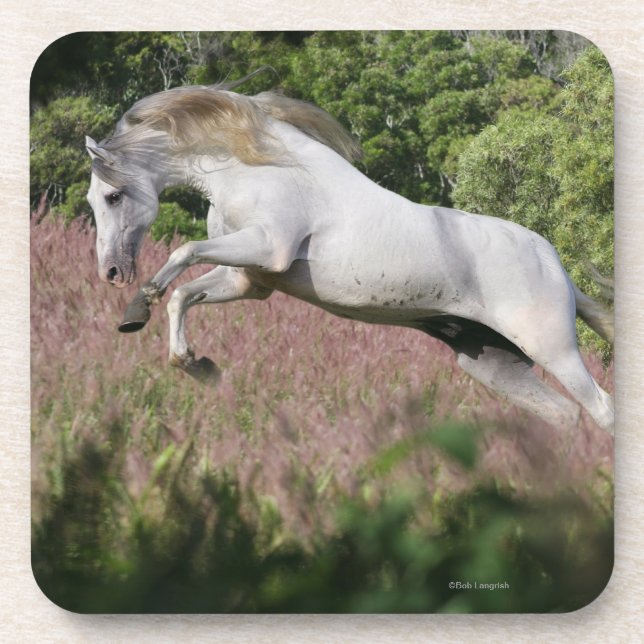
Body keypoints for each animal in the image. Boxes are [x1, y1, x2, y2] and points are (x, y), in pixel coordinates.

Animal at [84, 73, 614, 435]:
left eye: (112, 196)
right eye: (93, 199)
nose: (111, 271)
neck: (258, 168)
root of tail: (559, 269)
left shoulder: (268, 248)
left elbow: (184, 252)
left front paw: (138, 306)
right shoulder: (249, 281)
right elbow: (184, 294)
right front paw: (195, 363)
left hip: (552, 349)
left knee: (601, 408)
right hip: (493, 363)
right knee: (565, 415)